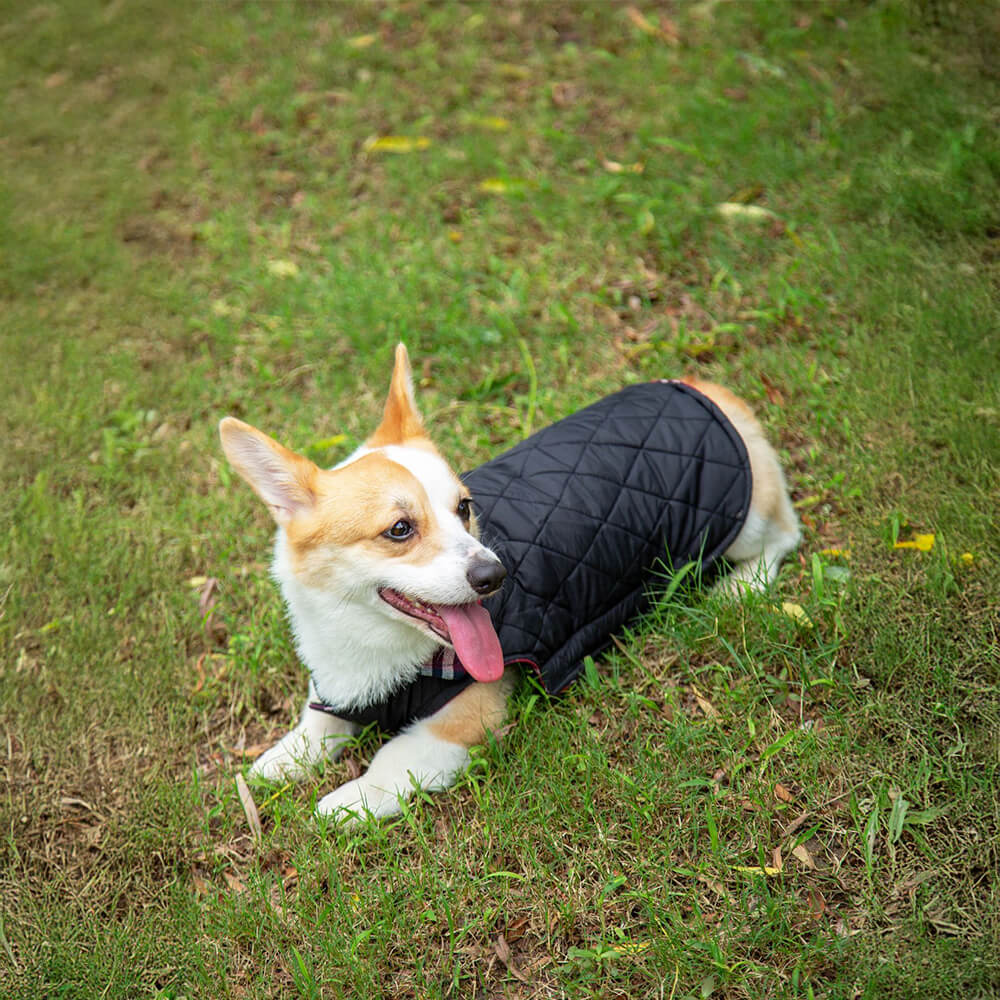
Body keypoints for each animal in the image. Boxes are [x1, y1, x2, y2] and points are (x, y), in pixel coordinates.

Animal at [219, 344, 796, 820]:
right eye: (400, 529)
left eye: (464, 507)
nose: (494, 575)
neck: (368, 640)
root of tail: (708, 392)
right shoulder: (335, 688)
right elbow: (316, 726)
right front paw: (278, 760)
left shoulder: (463, 717)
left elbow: (394, 755)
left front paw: (347, 801)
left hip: (740, 523)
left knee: (785, 534)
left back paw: (742, 586)